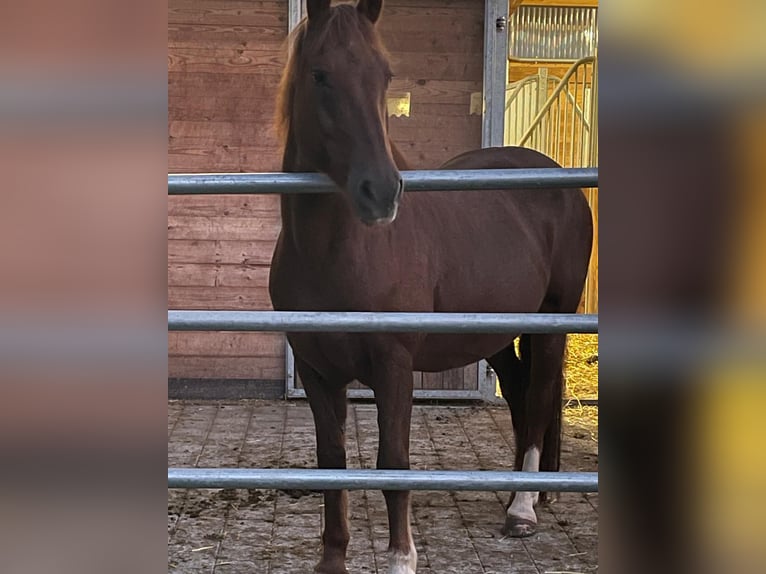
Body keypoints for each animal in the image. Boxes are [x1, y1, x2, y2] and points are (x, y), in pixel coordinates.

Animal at [270, 2, 592, 572]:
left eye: (385, 75)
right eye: (320, 75)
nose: (381, 191)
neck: (340, 254)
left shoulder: (394, 364)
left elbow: (394, 461)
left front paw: (402, 557)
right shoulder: (315, 369)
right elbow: (331, 459)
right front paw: (333, 557)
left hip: (554, 319)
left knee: (538, 396)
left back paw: (523, 509)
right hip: (492, 333)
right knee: (518, 391)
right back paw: (521, 494)